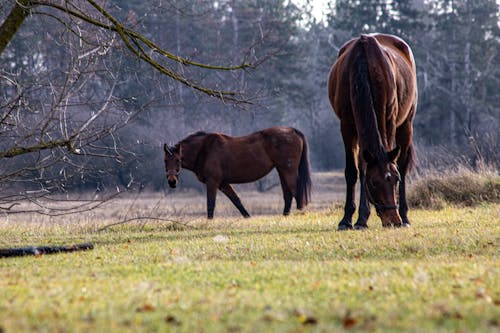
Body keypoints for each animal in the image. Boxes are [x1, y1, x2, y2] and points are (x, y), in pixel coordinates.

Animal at [164, 126, 312, 218]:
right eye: (165, 160)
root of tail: (292, 130)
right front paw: (248, 217)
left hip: (288, 171)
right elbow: (236, 201)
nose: (171, 182)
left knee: (296, 192)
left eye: (177, 160)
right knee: (288, 194)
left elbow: (210, 203)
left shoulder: (213, 182)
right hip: (282, 171)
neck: (204, 149)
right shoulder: (223, 184)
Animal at [328, 33, 418, 230]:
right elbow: (354, 171)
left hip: (406, 124)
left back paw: (405, 216)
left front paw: (362, 217)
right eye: (374, 183)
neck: (364, 66)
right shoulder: (347, 126)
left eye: (395, 179)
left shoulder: (389, 120)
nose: (393, 220)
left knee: (403, 163)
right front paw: (349, 219)